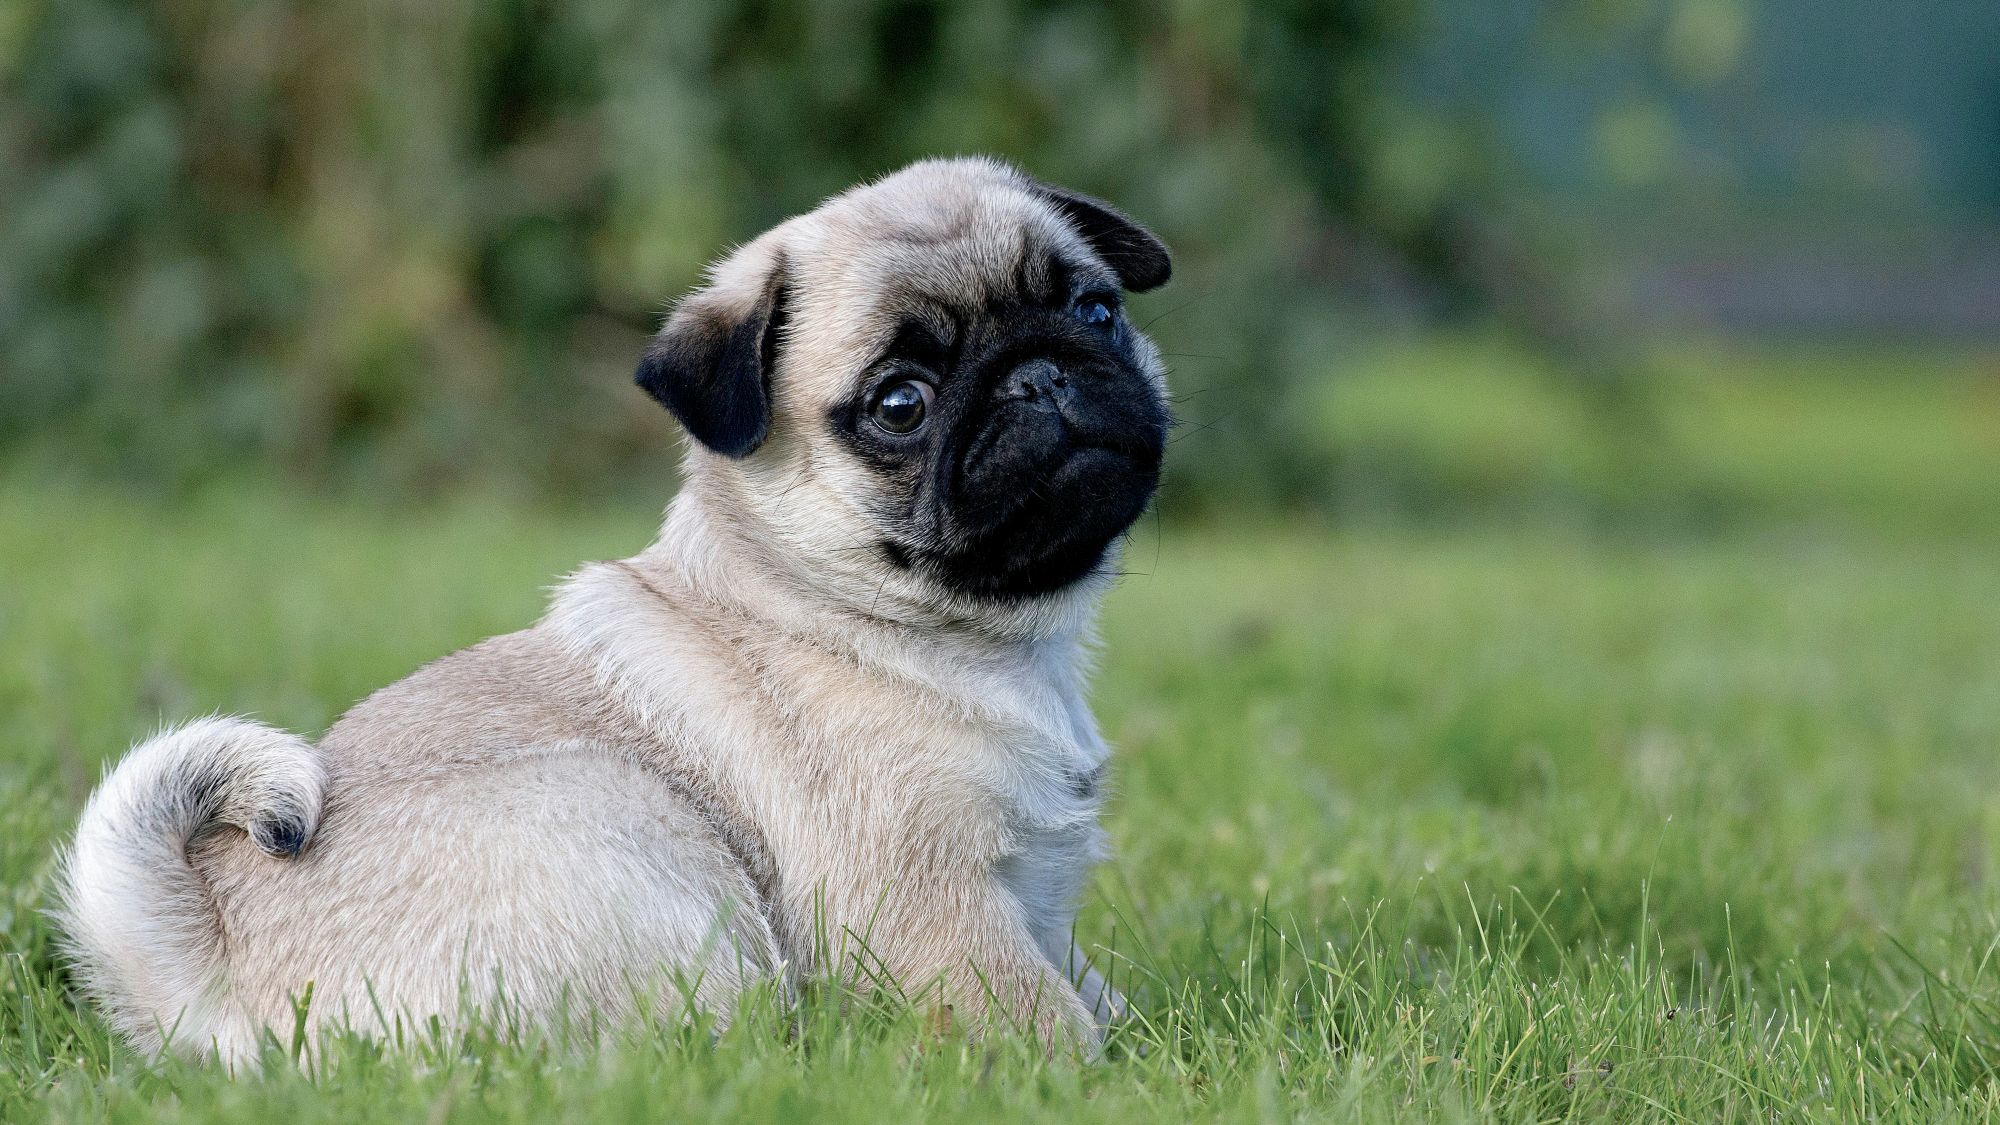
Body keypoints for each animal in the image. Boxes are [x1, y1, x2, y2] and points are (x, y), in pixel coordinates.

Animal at [54, 158, 1168, 1056]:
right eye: (901, 403)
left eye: (1095, 310)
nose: (1038, 374)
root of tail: (219, 1000)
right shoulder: (934, 909)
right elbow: (1045, 1025)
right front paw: (1088, 1081)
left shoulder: (1042, 912)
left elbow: (1104, 1003)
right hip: (655, 862)